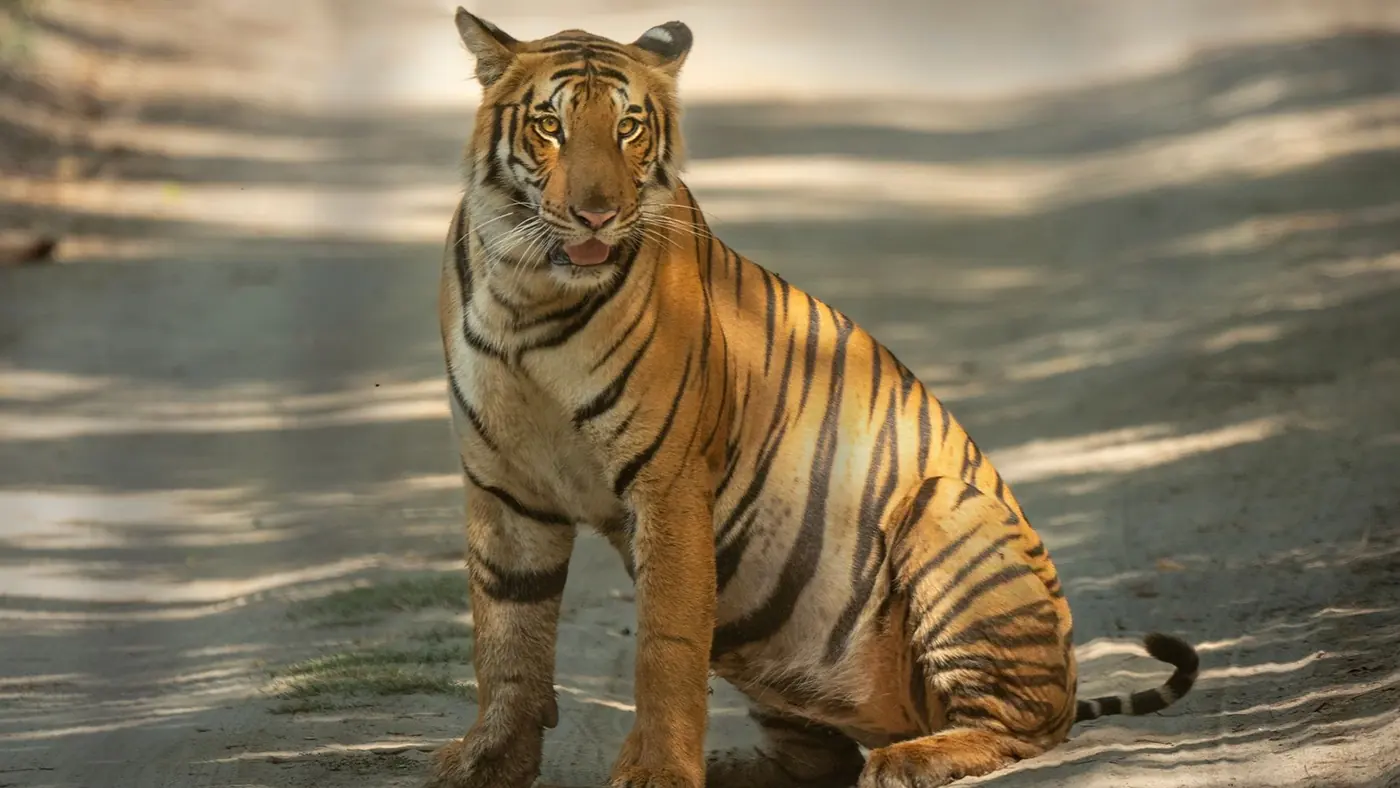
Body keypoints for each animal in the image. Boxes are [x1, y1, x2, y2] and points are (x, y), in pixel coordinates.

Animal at [429, 7, 1200, 788]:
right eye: (550, 125)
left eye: (628, 128)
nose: (596, 214)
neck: (529, 292)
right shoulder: (504, 487)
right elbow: (505, 637)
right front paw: (487, 760)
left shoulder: (667, 483)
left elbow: (664, 648)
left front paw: (659, 772)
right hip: (756, 621)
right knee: (819, 753)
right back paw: (735, 764)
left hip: (944, 511)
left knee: (1021, 728)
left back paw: (909, 759)